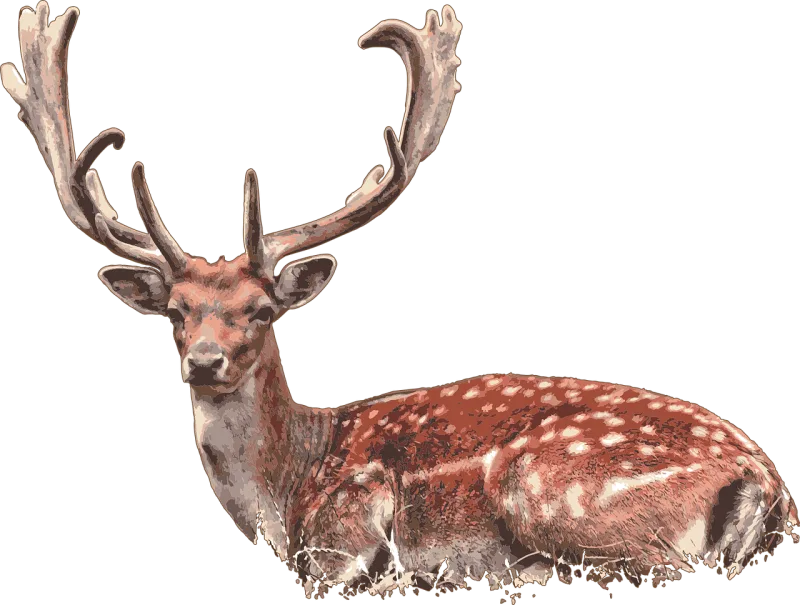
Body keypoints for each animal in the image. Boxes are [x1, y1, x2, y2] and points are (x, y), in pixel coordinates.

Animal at [3, 2, 797, 602]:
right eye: (176, 311)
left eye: (261, 310)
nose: (204, 361)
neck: (284, 493)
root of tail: (767, 481)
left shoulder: (344, 523)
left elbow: (337, 570)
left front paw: (407, 572)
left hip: (546, 485)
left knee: (651, 564)